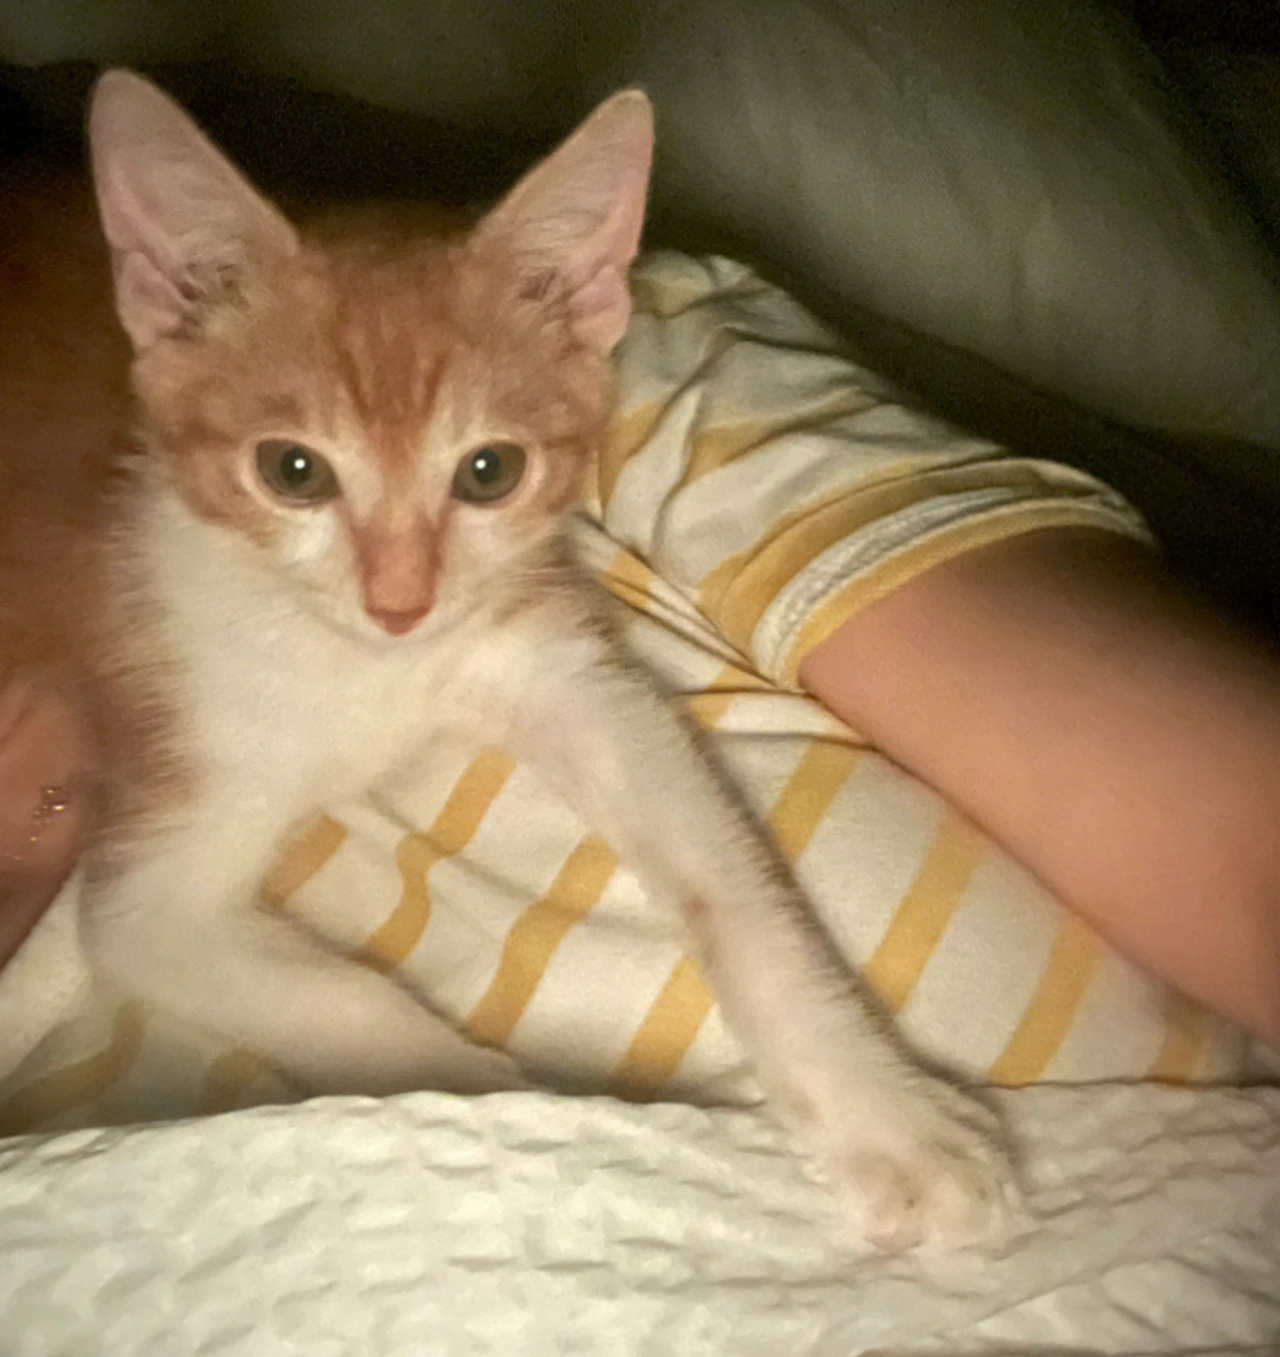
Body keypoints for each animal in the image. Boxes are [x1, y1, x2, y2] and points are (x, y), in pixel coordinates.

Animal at [0, 69, 1017, 1254]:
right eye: (292, 471)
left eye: (488, 471)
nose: (400, 601)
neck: (371, 669)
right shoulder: (156, 840)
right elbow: (303, 989)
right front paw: (533, 1109)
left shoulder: (563, 669)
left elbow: (730, 880)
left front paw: (894, 1119)